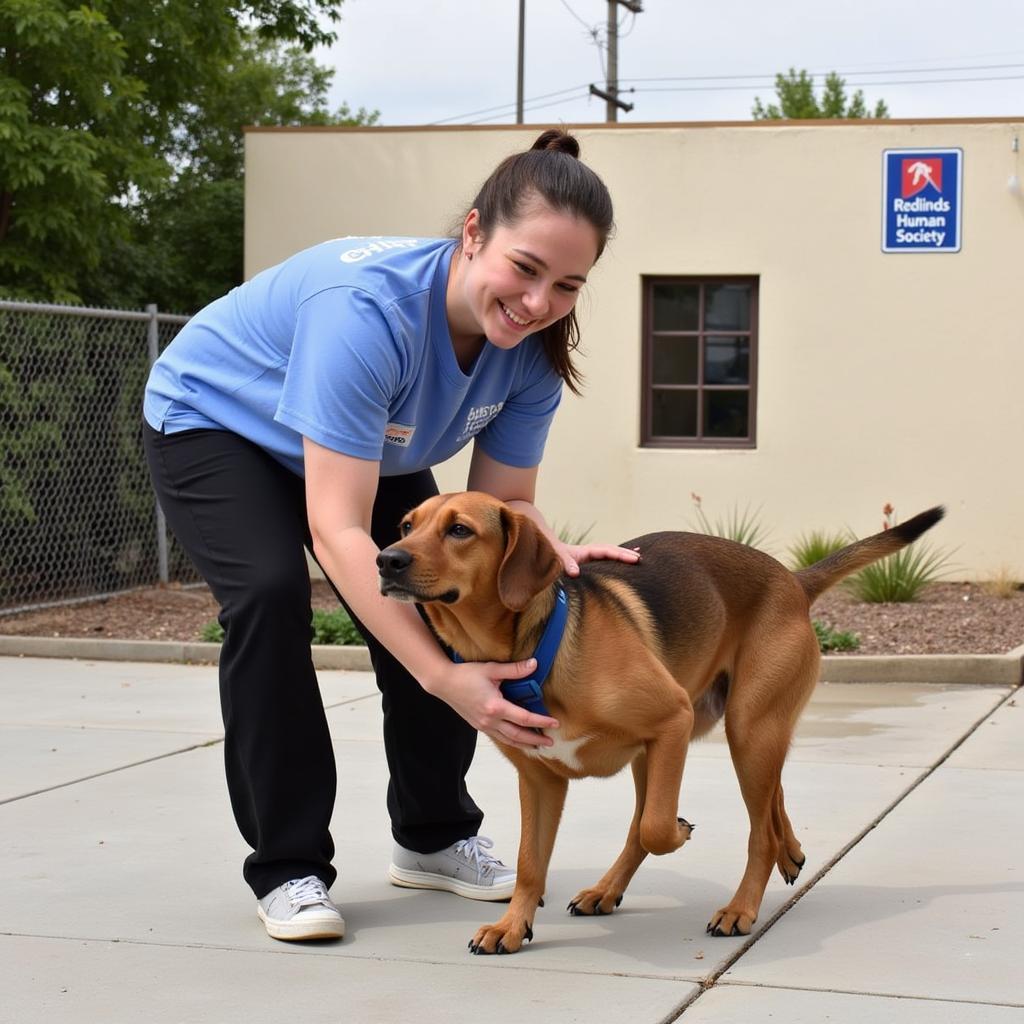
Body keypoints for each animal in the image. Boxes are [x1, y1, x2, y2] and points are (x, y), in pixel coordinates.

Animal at [376, 491, 942, 954]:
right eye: (406, 525)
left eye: (459, 530)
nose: (385, 559)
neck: (534, 653)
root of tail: (792, 580)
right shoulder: (540, 780)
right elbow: (531, 863)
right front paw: (512, 928)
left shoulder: (672, 721)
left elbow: (654, 828)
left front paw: (683, 831)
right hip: (717, 740)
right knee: (764, 796)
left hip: (744, 729)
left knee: (752, 827)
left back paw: (742, 905)